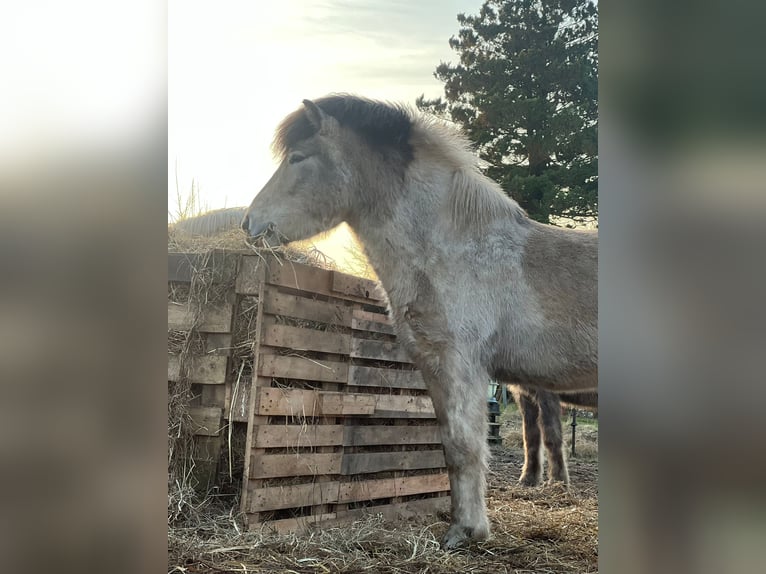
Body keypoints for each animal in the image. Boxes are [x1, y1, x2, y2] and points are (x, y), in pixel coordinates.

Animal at [242, 97, 600, 552]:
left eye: (298, 158)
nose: (249, 224)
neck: (455, 250)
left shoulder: (461, 366)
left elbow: (465, 447)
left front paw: (465, 532)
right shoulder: (435, 366)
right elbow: (449, 445)